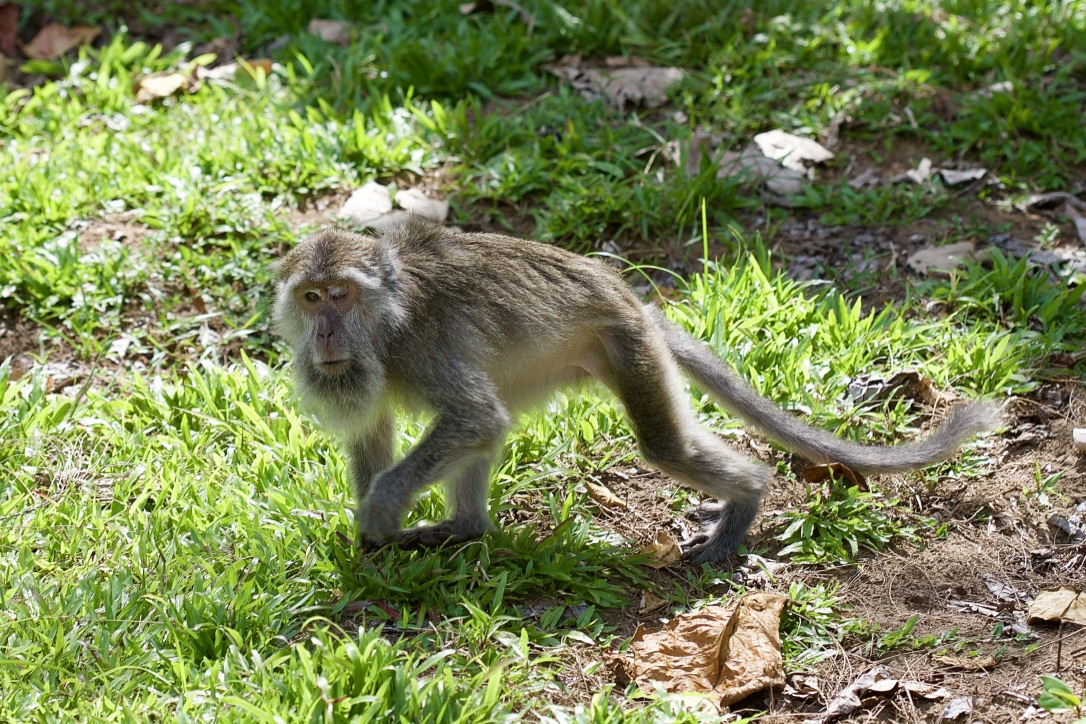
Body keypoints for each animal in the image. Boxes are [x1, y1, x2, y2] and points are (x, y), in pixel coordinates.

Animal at [271, 218, 999, 564]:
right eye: (311, 298)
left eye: (341, 295)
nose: (326, 332)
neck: (384, 327)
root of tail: (628, 296)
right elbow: (381, 430)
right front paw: (372, 529)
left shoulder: (420, 349)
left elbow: (473, 416)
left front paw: (379, 510)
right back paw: (465, 529)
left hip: (625, 345)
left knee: (662, 445)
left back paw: (747, 499)